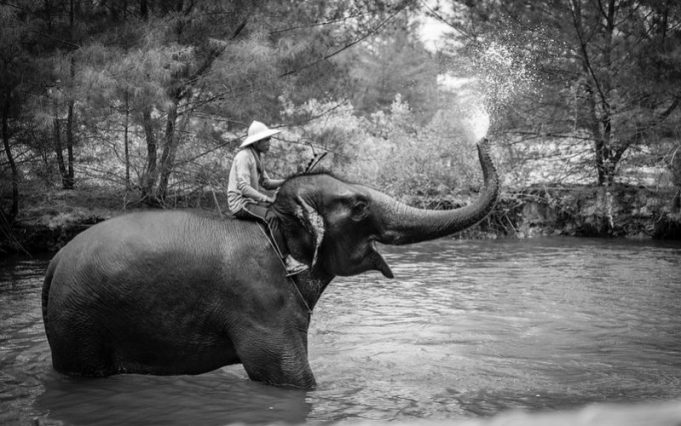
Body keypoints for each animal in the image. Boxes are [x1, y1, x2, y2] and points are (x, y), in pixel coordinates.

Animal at [43, 139, 500, 390]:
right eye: (358, 206)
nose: (482, 138)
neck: (279, 220)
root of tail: (54, 262)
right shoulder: (260, 302)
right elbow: (288, 378)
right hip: (78, 322)